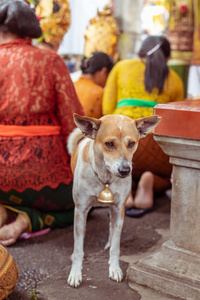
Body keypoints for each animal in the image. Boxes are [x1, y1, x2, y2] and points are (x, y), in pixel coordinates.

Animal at [67, 113, 161, 288]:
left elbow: (116, 245)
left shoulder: (119, 208)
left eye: (131, 143)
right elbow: (78, 248)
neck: (105, 179)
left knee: (112, 228)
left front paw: (114, 268)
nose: (125, 170)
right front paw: (75, 273)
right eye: (109, 144)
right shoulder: (80, 211)